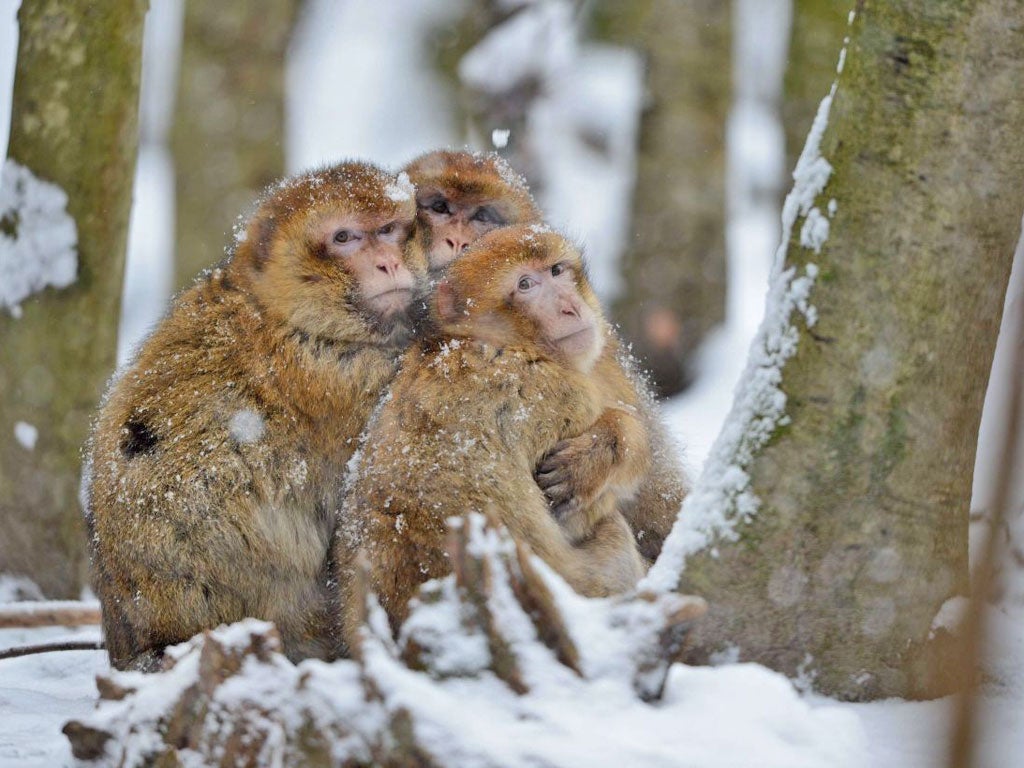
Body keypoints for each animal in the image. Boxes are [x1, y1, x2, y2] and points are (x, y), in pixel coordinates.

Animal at [339, 224, 651, 643]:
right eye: (525, 284)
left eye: (556, 271)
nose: (570, 306)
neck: (491, 342)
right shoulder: (551, 394)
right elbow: (581, 515)